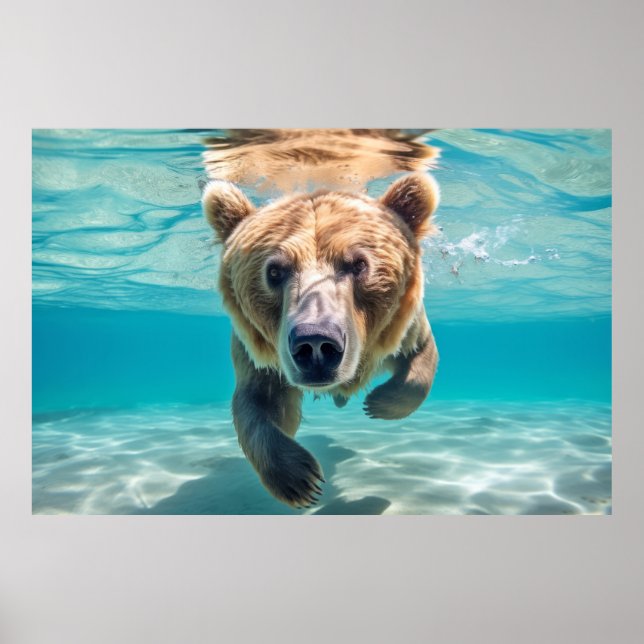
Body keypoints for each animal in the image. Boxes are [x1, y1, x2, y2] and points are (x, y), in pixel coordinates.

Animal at [202, 172, 440, 508]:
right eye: (274, 270)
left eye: (358, 263)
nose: (315, 344)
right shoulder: (259, 354)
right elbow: (259, 404)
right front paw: (300, 480)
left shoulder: (405, 328)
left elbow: (420, 357)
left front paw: (379, 402)